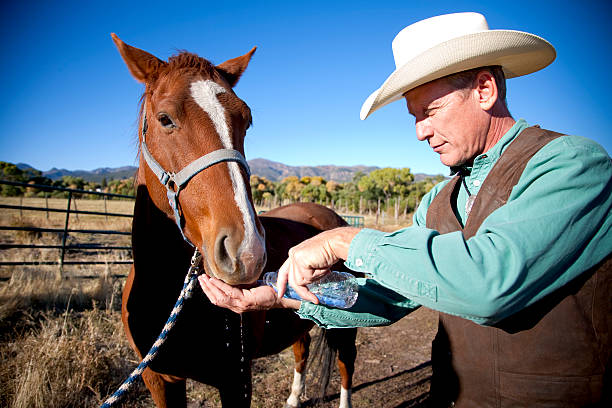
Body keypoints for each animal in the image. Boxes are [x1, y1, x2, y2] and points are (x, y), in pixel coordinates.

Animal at [112, 35, 356, 408]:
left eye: (247, 119)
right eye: (165, 118)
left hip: (344, 326)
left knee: (345, 365)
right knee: (301, 349)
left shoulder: (236, 379)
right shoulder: (159, 380)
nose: (246, 252)